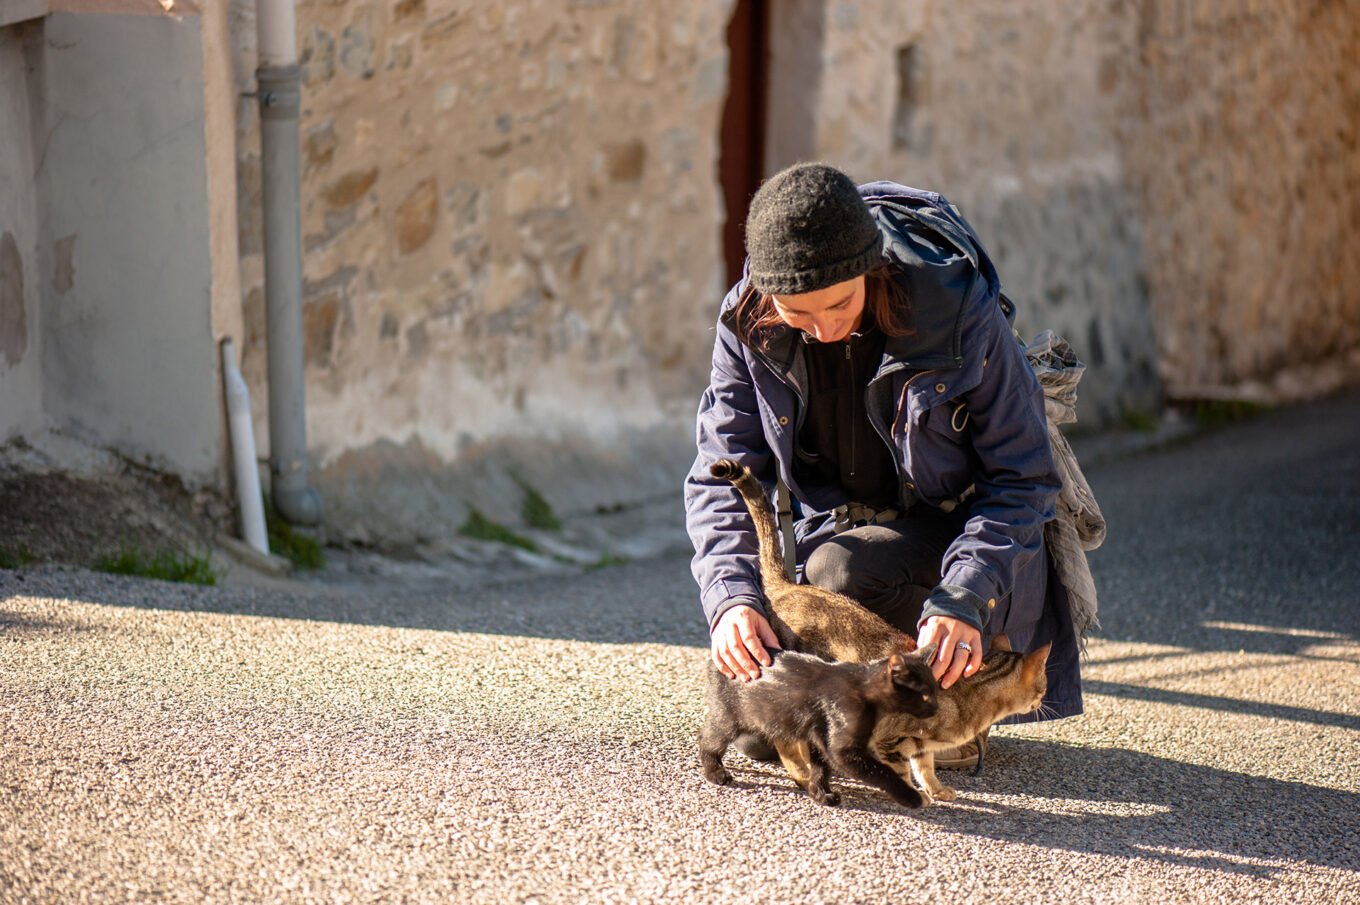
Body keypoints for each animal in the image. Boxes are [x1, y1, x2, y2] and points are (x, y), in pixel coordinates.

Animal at [712, 459, 1049, 800]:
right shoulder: (892, 738)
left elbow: (925, 767)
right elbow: (901, 770)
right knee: (785, 741)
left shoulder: (919, 744)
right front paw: (910, 794)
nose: (1044, 703)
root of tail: (786, 586)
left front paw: (937, 790)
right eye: (1044, 685)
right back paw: (805, 775)